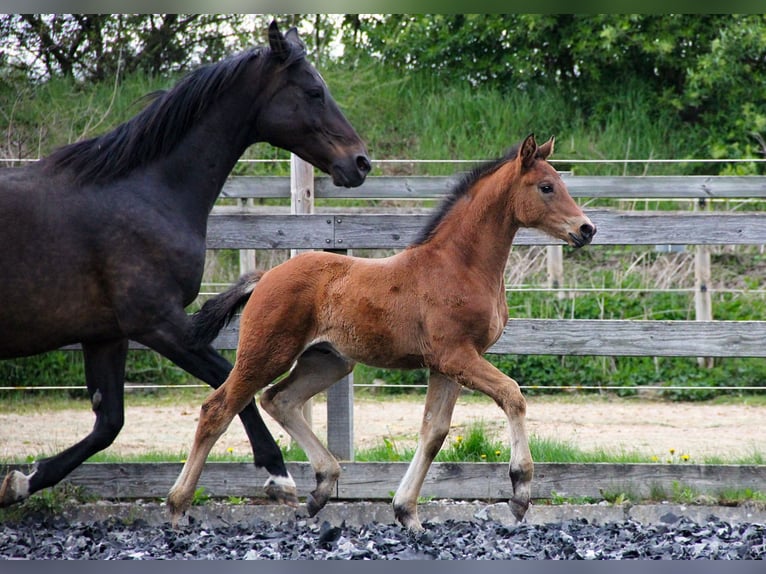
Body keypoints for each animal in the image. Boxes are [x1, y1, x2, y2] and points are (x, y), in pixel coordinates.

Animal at [0, 21, 372, 508]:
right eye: (313, 91)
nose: (361, 162)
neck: (146, 192)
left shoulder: (106, 333)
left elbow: (108, 423)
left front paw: (22, 480)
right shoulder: (159, 322)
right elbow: (230, 382)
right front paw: (278, 474)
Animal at [171, 134, 596, 532]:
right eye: (546, 187)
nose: (586, 228)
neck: (458, 265)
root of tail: (264, 277)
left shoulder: (447, 365)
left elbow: (434, 432)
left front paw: (406, 511)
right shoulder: (456, 356)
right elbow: (512, 394)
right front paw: (520, 492)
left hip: (328, 362)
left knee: (279, 399)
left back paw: (322, 486)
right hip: (266, 353)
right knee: (218, 408)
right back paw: (177, 506)